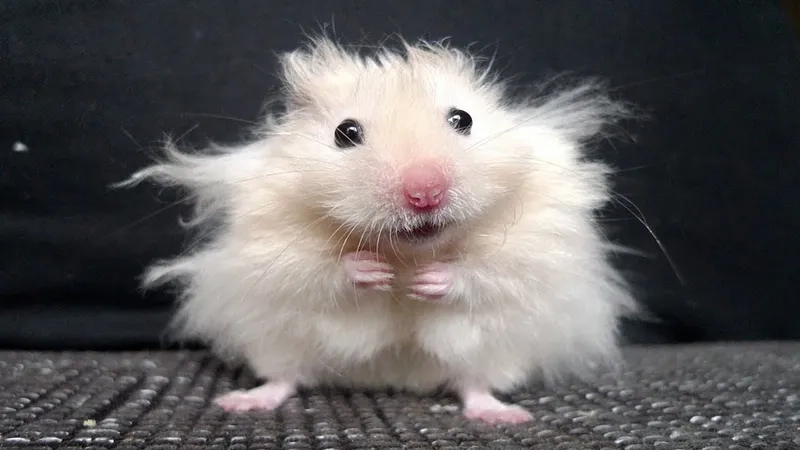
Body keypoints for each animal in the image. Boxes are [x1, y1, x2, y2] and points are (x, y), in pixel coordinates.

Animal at [122, 37, 638, 425]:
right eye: (345, 133)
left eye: (463, 119)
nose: (425, 192)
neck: (407, 253)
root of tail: (393, 378)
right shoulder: (267, 240)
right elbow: (314, 269)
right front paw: (371, 272)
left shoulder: (536, 240)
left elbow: (488, 268)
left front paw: (430, 281)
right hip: (276, 337)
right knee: (285, 376)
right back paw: (244, 402)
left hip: (495, 348)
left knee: (474, 383)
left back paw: (503, 415)